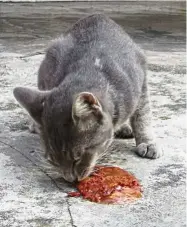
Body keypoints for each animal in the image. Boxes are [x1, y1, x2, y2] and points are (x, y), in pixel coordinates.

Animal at [13, 14, 162, 183]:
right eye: (52, 161)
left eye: (78, 158)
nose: (69, 179)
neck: (89, 70)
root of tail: (97, 16)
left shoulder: (140, 81)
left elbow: (143, 116)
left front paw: (148, 142)